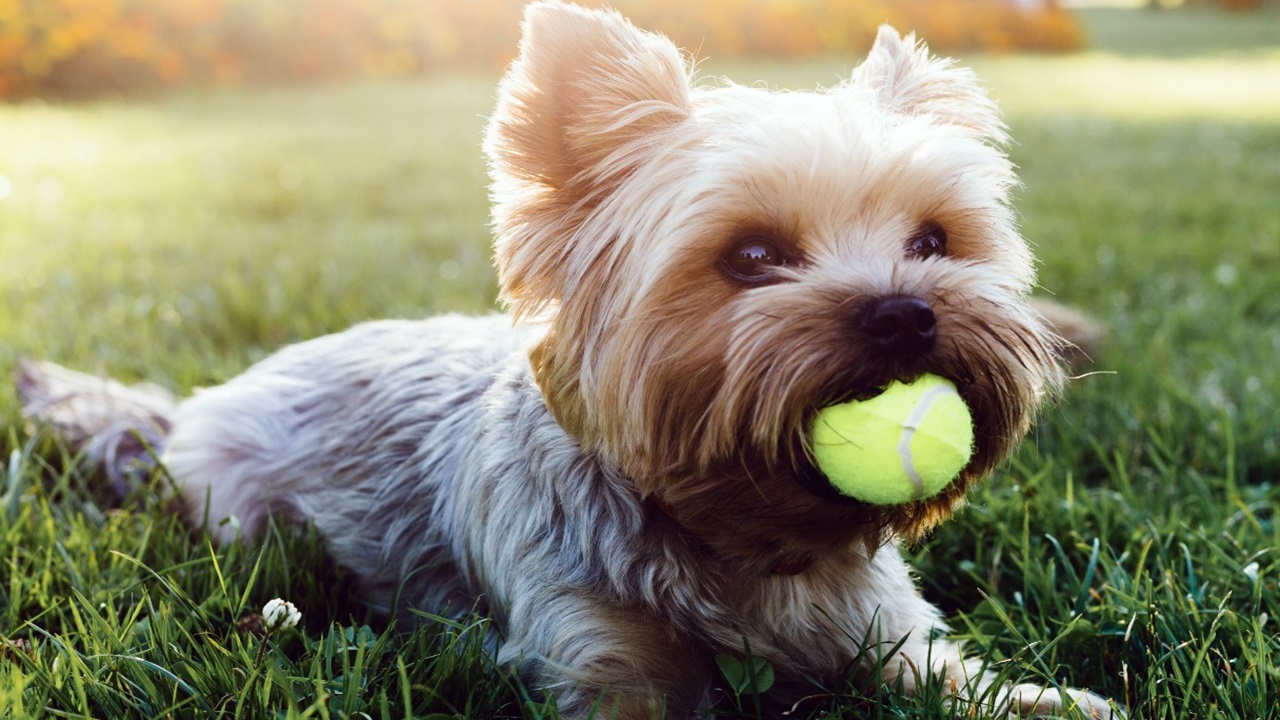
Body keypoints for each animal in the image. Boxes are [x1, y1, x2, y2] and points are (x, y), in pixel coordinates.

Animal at [17, 2, 1121, 712]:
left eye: (933, 240)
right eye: (750, 257)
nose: (903, 314)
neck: (746, 541)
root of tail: (197, 402)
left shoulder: (891, 638)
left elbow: (963, 681)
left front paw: (1061, 699)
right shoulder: (596, 655)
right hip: (240, 513)